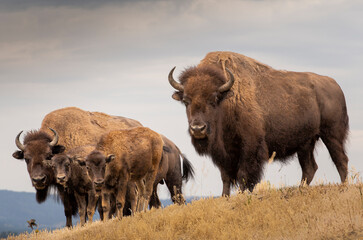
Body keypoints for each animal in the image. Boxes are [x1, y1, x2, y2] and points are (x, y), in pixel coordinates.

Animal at [11, 107, 142, 227]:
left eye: (48, 155)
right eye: (26, 158)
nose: (38, 180)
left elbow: (96, 207)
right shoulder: (65, 190)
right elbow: (69, 210)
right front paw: (70, 227)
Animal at [169, 51, 352, 196]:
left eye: (213, 99)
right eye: (186, 101)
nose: (197, 129)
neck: (227, 100)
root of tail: (335, 85)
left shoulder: (250, 148)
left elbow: (244, 175)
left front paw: (242, 195)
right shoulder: (223, 154)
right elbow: (226, 177)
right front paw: (225, 197)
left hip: (332, 135)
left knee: (340, 160)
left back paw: (343, 187)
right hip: (306, 143)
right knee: (309, 168)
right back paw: (301, 189)